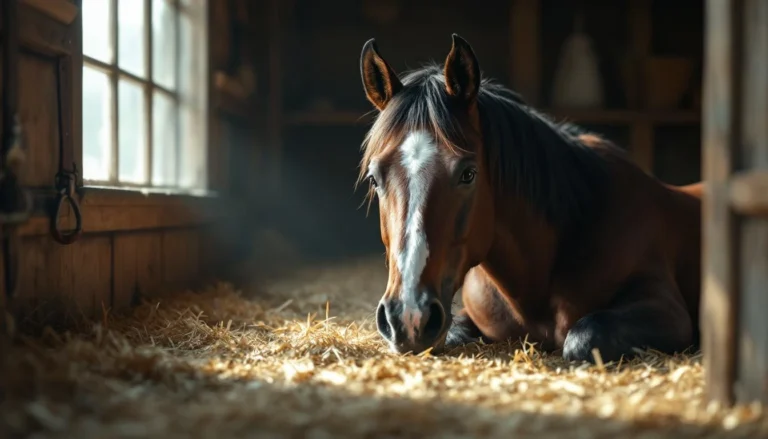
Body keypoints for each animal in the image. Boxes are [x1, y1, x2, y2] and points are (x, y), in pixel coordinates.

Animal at [356, 34, 702, 364]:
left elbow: (584, 335)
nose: (408, 319)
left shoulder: (667, 310)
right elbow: (454, 331)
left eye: (468, 173)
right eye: (374, 178)